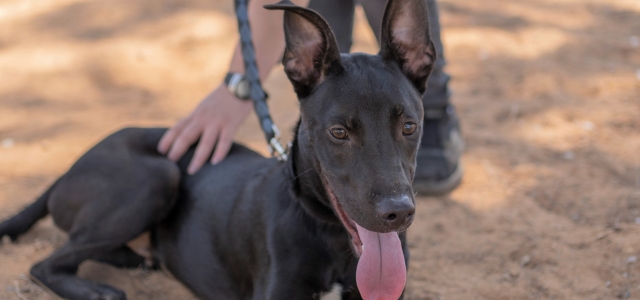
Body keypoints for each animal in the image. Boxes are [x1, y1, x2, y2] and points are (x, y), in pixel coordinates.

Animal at [0, 1, 436, 298]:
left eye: (410, 127)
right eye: (339, 132)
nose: (398, 213)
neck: (333, 240)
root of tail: (72, 166)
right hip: (156, 177)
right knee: (46, 262)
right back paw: (97, 291)